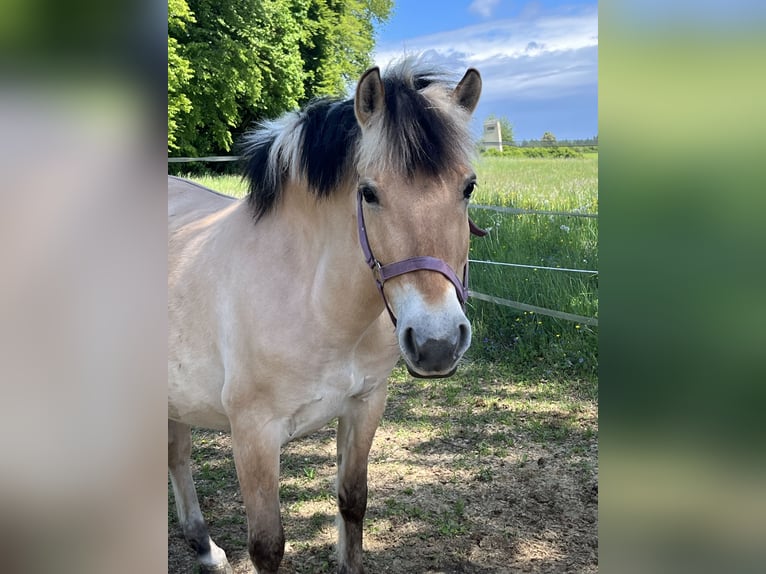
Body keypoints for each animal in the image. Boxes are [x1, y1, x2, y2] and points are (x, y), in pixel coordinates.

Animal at [168, 58, 484, 573]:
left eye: (468, 187)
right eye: (369, 193)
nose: (436, 343)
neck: (318, 305)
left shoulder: (365, 405)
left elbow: (352, 502)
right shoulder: (253, 435)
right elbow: (267, 545)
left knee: (176, 454)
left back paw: (206, 550)